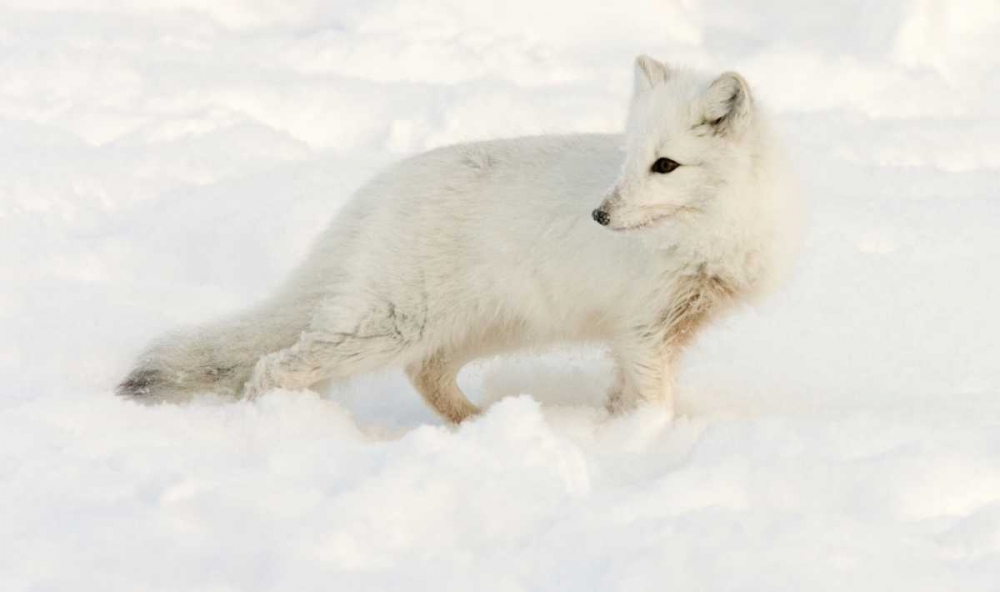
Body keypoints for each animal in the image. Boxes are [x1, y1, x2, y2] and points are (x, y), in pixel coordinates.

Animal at [121, 55, 800, 424]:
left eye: (665, 166)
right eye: (629, 160)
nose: (600, 216)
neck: (711, 233)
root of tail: (377, 189)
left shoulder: (648, 334)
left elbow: (625, 396)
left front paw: (612, 432)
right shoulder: (645, 332)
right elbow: (653, 405)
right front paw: (645, 447)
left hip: (490, 325)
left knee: (425, 374)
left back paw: (478, 425)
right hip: (392, 324)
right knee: (274, 364)